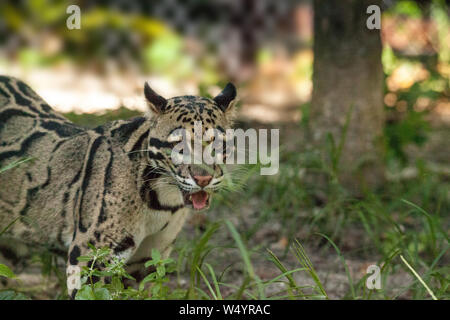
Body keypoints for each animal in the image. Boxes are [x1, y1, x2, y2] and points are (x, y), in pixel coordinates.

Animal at [0, 75, 239, 298]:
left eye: (218, 144)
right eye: (179, 146)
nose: (203, 179)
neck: (162, 202)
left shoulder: (146, 259)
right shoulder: (92, 255)